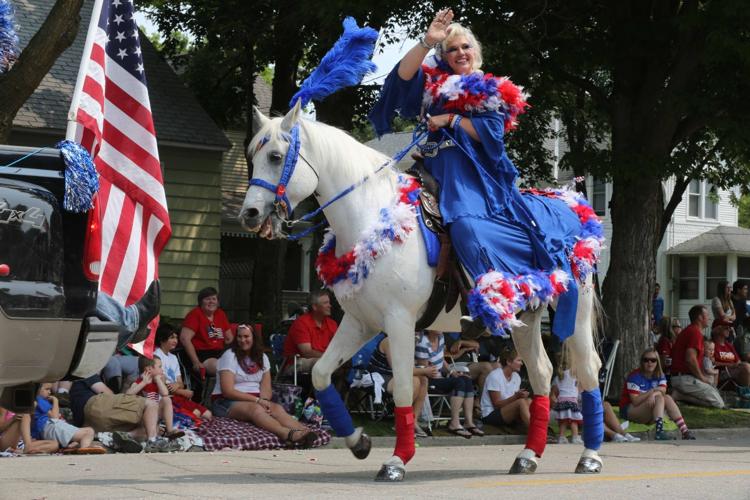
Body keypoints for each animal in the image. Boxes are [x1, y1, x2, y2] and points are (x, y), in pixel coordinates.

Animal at [241, 101, 604, 480]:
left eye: (276, 156)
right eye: (252, 155)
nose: (249, 214)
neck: (372, 219)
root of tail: (574, 206)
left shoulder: (399, 320)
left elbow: (401, 388)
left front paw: (396, 461)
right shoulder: (360, 322)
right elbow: (322, 374)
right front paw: (359, 442)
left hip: (576, 313)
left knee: (588, 369)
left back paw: (589, 456)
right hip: (526, 319)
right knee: (541, 373)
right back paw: (528, 456)